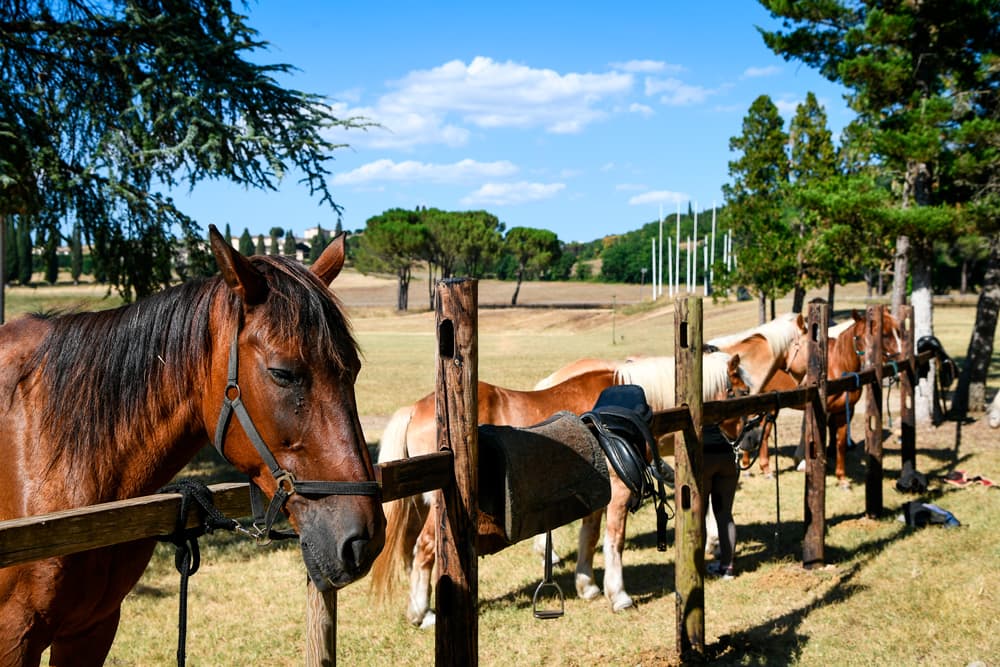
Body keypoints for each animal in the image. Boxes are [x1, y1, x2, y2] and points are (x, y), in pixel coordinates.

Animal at [369, 352, 756, 626]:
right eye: (742, 392)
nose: (749, 443)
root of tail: (416, 409)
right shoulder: (619, 491)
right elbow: (614, 540)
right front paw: (619, 595)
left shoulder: (597, 494)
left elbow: (590, 537)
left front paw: (588, 586)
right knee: (424, 550)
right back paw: (422, 614)